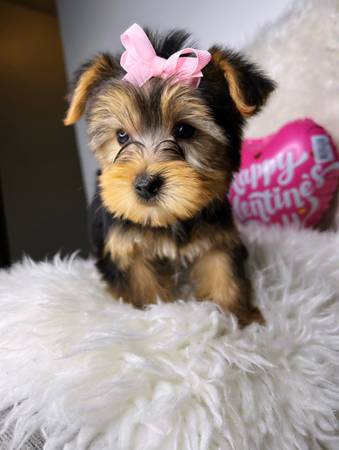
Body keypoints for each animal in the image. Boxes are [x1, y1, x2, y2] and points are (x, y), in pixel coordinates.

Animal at [64, 22, 276, 326]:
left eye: (185, 130)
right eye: (121, 136)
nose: (145, 184)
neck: (166, 220)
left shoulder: (217, 235)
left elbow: (223, 270)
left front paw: (240, 318)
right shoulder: (126, 247)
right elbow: (143, 286)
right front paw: (154, 315)